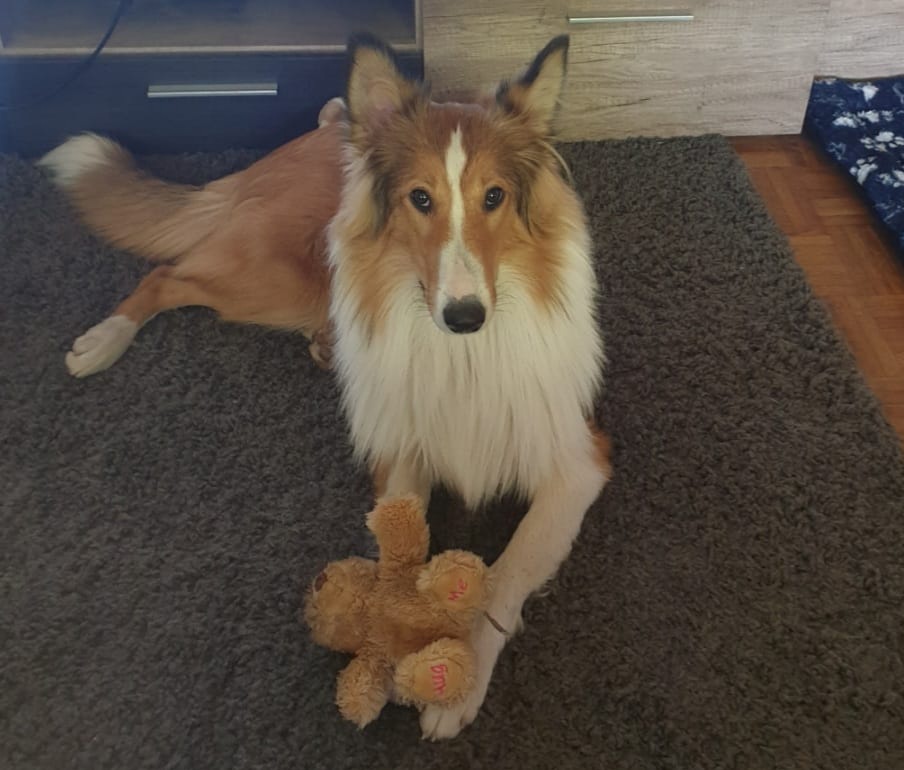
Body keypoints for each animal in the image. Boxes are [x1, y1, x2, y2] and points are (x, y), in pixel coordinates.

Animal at [39, 34, 611, 739]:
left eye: (495, 196)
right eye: (421, 199)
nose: (464, 316)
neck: (464, 355)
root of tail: (313, 139)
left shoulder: (577, 462)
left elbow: (507, 572)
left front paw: (460, 676)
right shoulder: (402, 448)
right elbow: (403, 545)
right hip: (275, 277)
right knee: (169, 275)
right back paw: (103, 340)